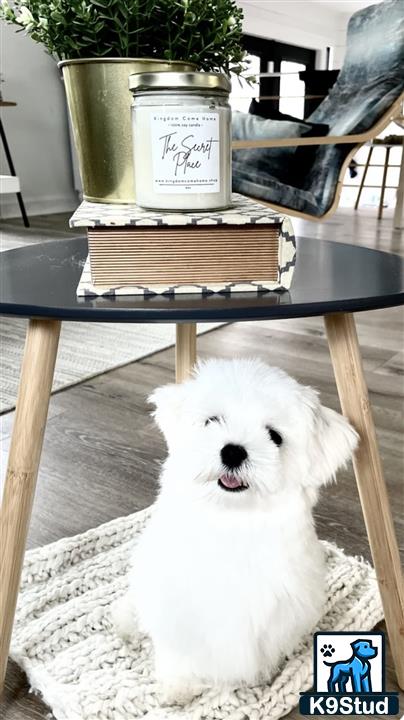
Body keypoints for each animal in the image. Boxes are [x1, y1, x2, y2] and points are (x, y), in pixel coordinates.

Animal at [113, 358, 356, 704]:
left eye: (275, 436)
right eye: (212, 420)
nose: (233, 451)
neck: (231, 519)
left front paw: (262, 675)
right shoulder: (177, 604)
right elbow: (177, 645)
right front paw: (178, 685)